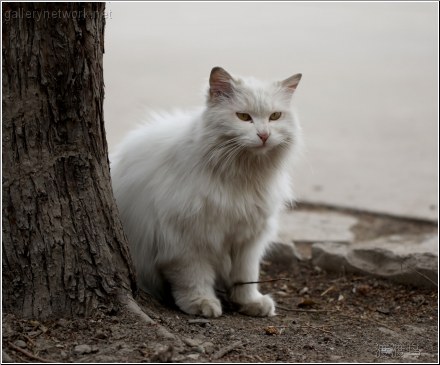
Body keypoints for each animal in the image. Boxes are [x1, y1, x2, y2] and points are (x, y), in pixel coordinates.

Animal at [110, 67, 302, 316]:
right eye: (243, 117)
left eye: (275, 116)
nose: (264, 135)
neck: (241, 176)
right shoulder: (187, 240)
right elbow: (194, 278)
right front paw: (201, 303)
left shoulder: (248, 240)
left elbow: (245, 277)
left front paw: (250, 303)